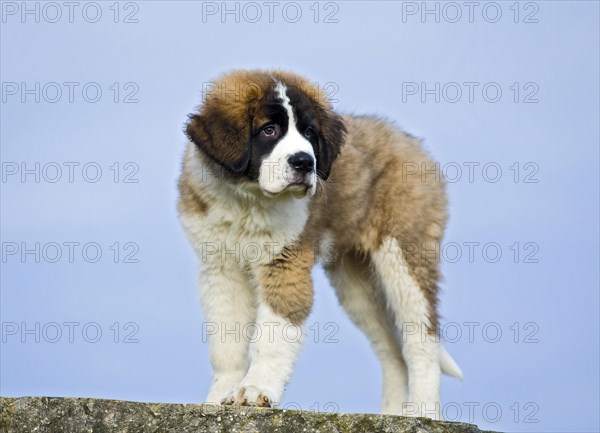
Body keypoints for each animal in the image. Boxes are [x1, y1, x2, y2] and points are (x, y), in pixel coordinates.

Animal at [176, 70, 462, 418]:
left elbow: (271, 335)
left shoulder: (285, 262)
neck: (248, 199)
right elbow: (226, 342)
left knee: (421, 339)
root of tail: (407, 139)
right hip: (358, 285)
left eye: (309, 132)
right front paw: (218, 397)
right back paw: (392, 413)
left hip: (404, 256)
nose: (304, 163)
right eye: (269, 130)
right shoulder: (220, 269)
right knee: (391, 350)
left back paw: (422, 413)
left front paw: (255, 389)